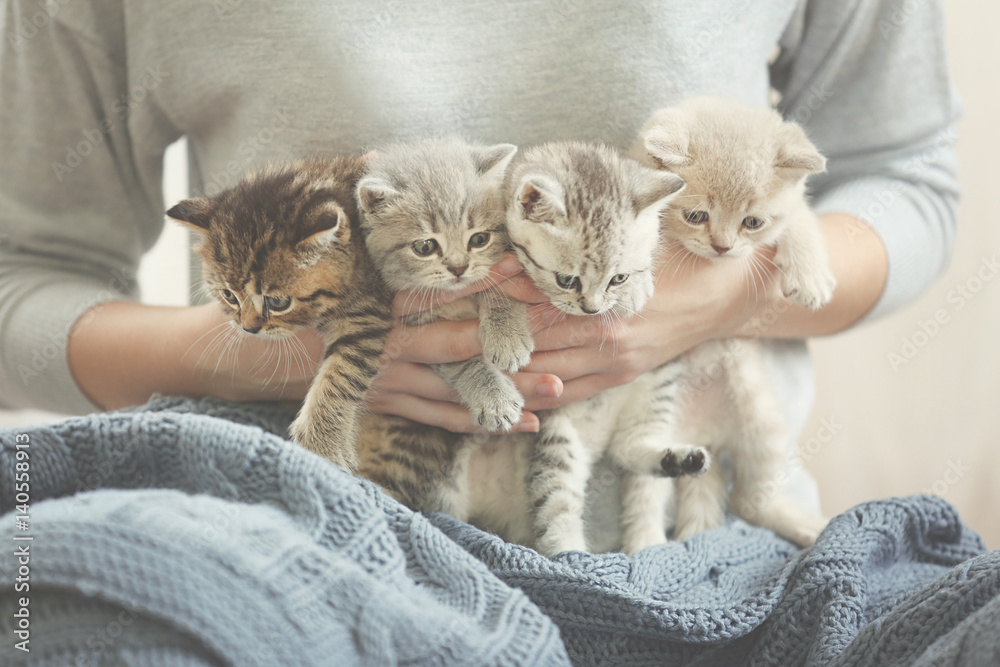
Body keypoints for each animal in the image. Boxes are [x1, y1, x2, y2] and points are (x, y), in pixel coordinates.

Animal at [170, 156, 392, 470]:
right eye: (229, 296)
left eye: (277, 302)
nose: (248, 328)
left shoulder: (368, 310)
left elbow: (343, 373)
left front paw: (323, 444)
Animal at [356, 138, 536, 516]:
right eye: (425, 246)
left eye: (479, 239)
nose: (458, 267)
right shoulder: (423, 329)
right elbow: (467, 364)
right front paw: (496, 399)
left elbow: (497, 286)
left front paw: (507, 337)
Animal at [458, 145, 708, 560]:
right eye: (567, 280)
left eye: (618, 278)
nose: (592, 309)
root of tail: (599, 435)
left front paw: (638, 289)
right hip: (557, 438)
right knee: (556, 507)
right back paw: (573, 559)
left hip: (658, 379)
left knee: (627, 446)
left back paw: (679, 461)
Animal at [632, 98, 836, 548]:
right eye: (696, 215)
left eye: (752, 222)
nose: (722, 247)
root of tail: (705, 434)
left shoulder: (792, 210)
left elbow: (800, 221)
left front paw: (809, 275)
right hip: (656, 440)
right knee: (645, 501)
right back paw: (646, 551)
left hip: (764, 424)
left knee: (749, 501)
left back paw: (803, 524)